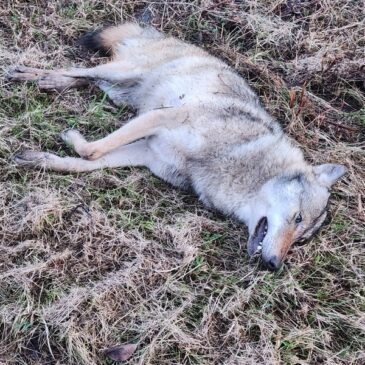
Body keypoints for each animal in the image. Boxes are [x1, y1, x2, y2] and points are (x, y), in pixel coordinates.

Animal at [7, 22, 346, 268]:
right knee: (76, 69)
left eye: (301, 240)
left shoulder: (146, 153)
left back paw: (49, 83)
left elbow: (85, 162)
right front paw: (69, 139)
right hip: (120, 74)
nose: (274, 265)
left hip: (117, 90)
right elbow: (91, 150)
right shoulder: (164, 116)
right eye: (298, 218)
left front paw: (39, 159)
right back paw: (26, 72)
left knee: (81, 79)